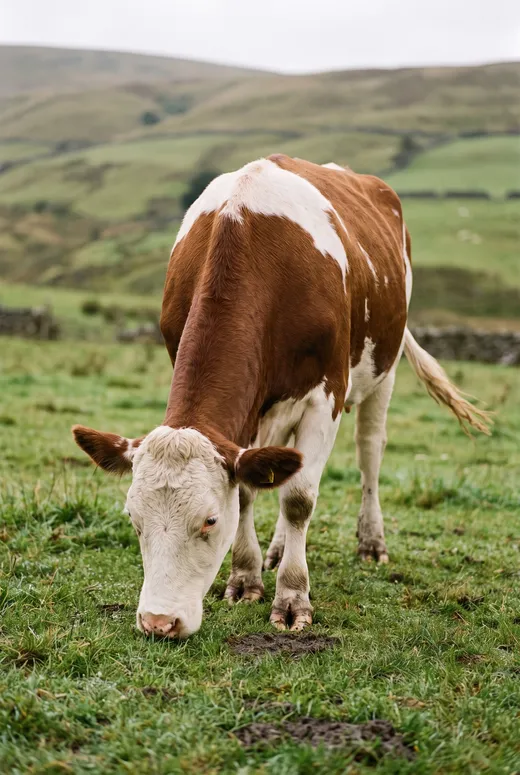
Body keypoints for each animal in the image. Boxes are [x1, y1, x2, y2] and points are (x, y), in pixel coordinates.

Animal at [72, 155, 491, 639]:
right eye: (133, 519)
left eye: (209, 520)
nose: (159, 621)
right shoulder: (244, 415)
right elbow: (249, 491)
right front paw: (245, 578)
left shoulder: (325, 396)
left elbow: (298, 499)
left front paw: (292, 598)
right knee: (283, 465)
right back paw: (274, 551)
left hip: (383, 367)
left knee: (368, 451)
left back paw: (370, 542)